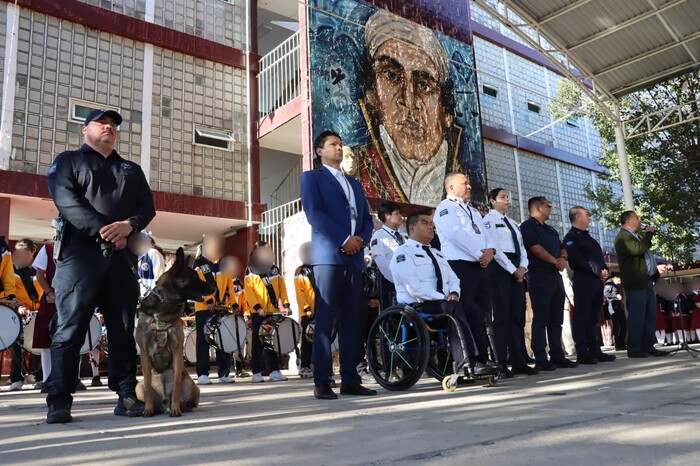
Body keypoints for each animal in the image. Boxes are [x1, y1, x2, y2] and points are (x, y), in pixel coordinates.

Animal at [135, 249, 213, 416]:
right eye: (194, 277)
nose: (213, 289)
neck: (164, 305)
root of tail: (164, 403)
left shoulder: (177, 351)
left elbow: (177, 385)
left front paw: (176, 408)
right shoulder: (144, 353)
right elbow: (148, 384)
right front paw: (148, 408)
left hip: (192, 386)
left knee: (189, 400)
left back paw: (181, 406)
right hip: (138, 387)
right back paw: (154, 407)